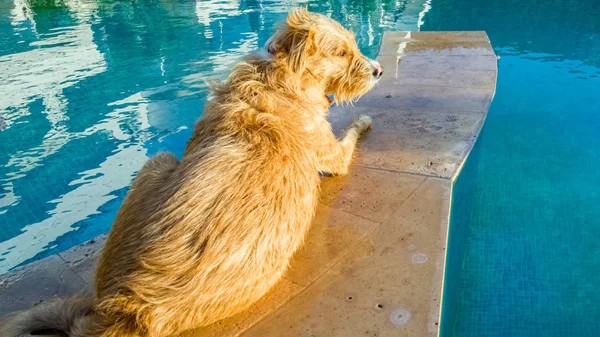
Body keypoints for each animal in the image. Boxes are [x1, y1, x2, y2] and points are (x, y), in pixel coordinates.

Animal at [0, 7, 382, 336]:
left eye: (352, 46)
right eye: (342, 52)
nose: (379, 70)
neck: (284, 77)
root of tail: (132, 310)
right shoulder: (336, 156)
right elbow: (349, 136)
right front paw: (362, 120)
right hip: (158, 160)